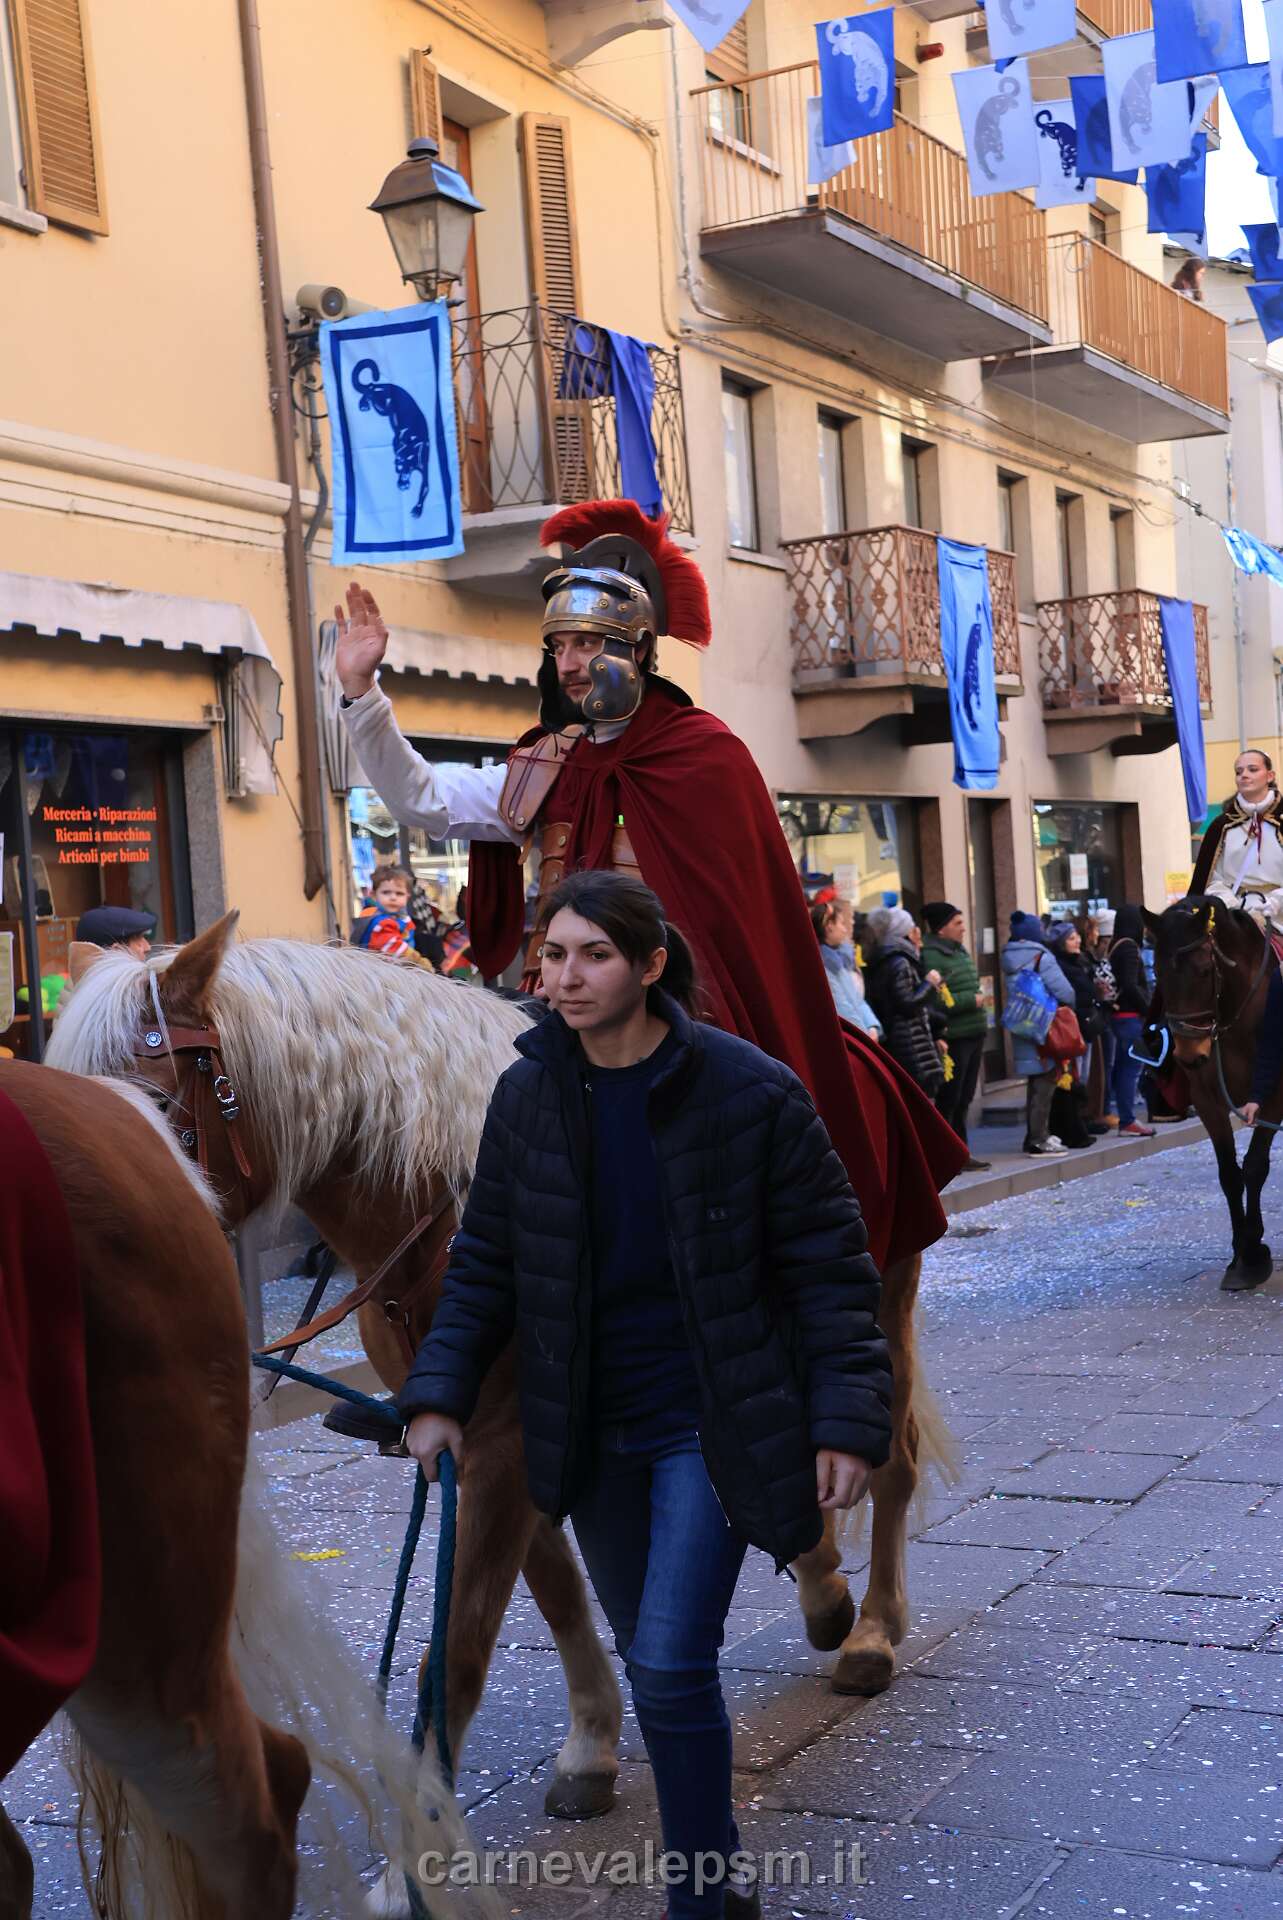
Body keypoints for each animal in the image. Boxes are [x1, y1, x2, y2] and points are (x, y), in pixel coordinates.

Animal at [1146, 897, 1282, 1291]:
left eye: (1205, 970)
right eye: (1157, 971)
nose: (1189, 1056)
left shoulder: (1274, 1095)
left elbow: (1254, 1166)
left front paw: (1253, 1252)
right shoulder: (1209, 1101)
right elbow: (1228, 1174)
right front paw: (1241, 1255)